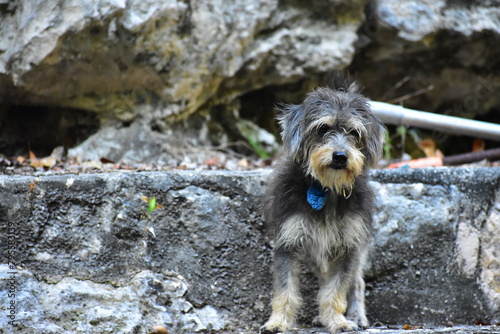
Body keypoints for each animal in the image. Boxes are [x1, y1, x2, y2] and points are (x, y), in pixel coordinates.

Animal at [260, 77, 384, 332]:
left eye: (354, 132)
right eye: (323, 128)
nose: (340, 156)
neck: (327, 189)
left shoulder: (349, 246)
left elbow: (336, 291)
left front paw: (337, 320)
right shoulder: (287, 243)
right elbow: (285, 291)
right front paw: (278, 322)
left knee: (357, 282)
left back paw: (356, 316)